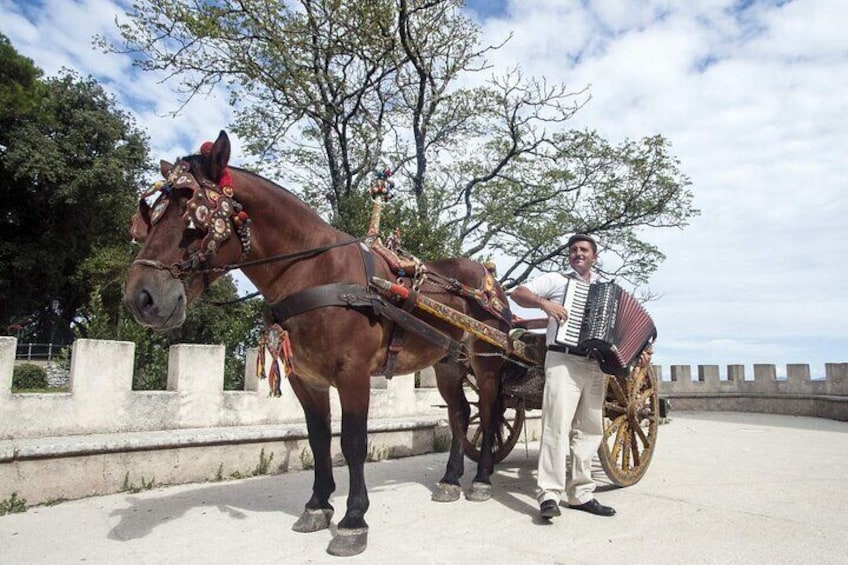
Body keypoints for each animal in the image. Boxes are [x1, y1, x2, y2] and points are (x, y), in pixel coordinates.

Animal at [124, 131, 510, 556]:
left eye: (194, 222)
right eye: (150, 219)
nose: (141, 298)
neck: (314, 271)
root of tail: (490, 281)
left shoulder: (353, 373)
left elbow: (353, 442)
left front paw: (353, 520)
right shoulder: (306, 379)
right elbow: (319, 438)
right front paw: (318, 504)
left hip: (487, 360)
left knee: (488, 412)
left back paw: (482, 478)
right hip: (448, 362)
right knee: (460, 413)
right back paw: (451, 478)